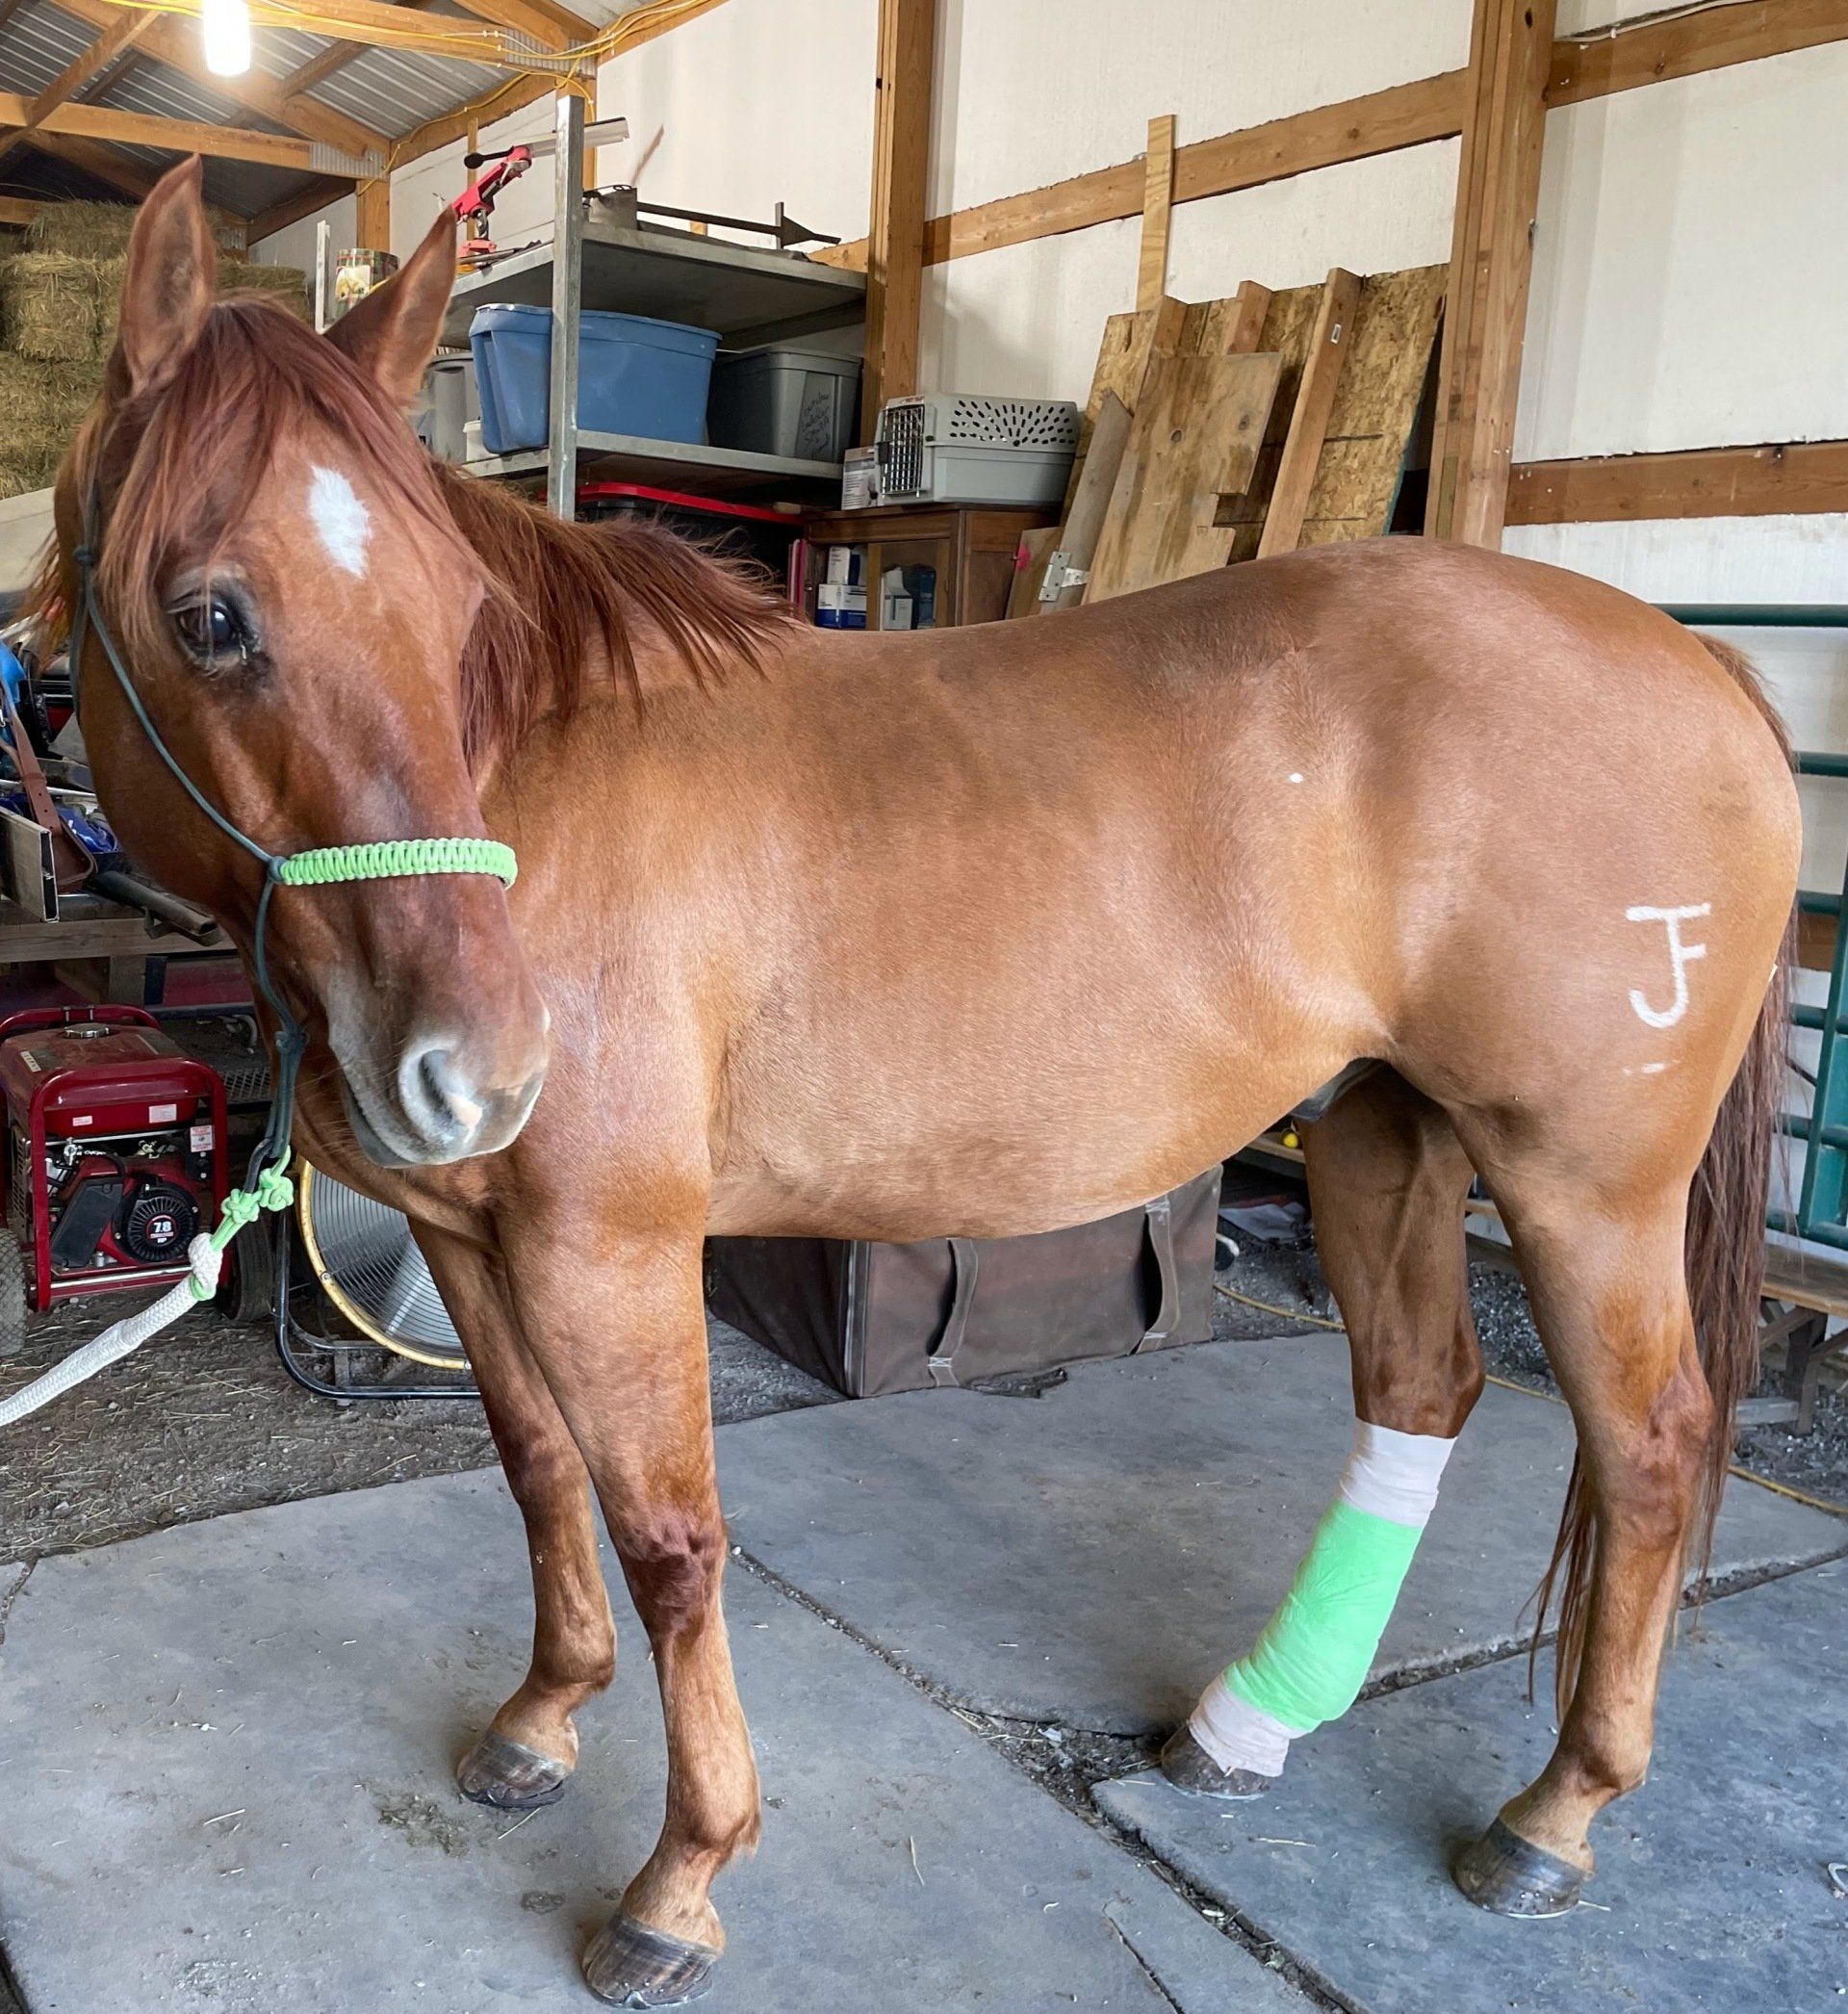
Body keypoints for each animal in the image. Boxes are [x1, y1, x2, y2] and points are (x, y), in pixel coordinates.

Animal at [36, 156, 1798, 2006]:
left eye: (462, 625)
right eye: (210, 616)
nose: (481, 1066)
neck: (538, 790)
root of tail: (1696, 661)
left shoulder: (609, 1248)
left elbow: (670, 1539)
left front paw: (684, 1874)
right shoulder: (462, 1229)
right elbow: (533, 1471)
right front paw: (541, 1720)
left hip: (1584, 1185)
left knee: (1654, 1451)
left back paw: (1556, 1813)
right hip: (1386, 1135)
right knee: (1423, 1389)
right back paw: (1251, 1724)